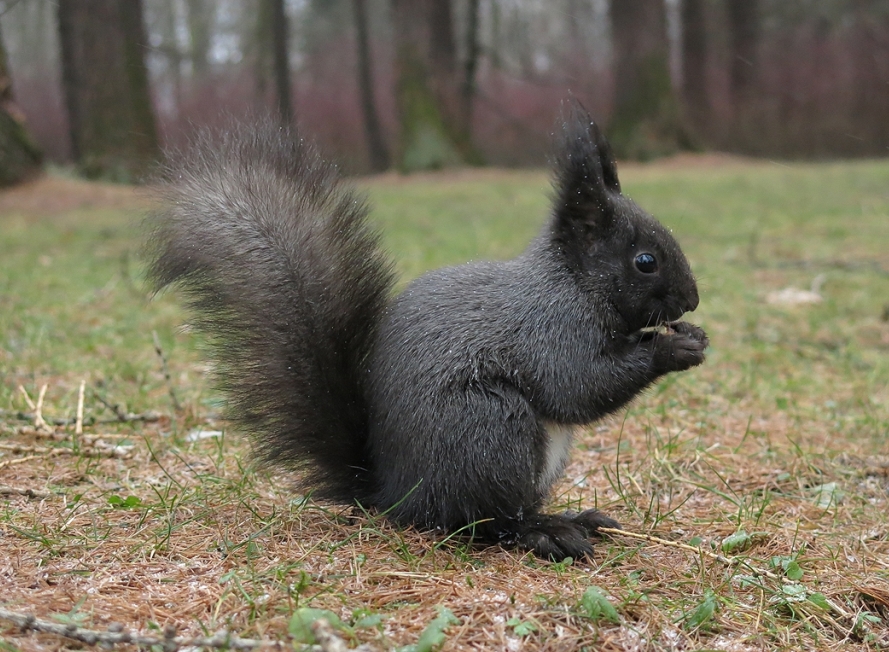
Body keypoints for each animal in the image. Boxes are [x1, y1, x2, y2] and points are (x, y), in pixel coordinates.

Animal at [145, 104, 708, 561]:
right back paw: (546, 533)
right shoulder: (549, 329)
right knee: (487, 523)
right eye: (645, 261)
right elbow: (578, 387)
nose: (692, 300)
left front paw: (691, 335)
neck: (571, 283)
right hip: (489, 429)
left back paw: (574, 518)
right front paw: (674, 348)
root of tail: (396, 495)